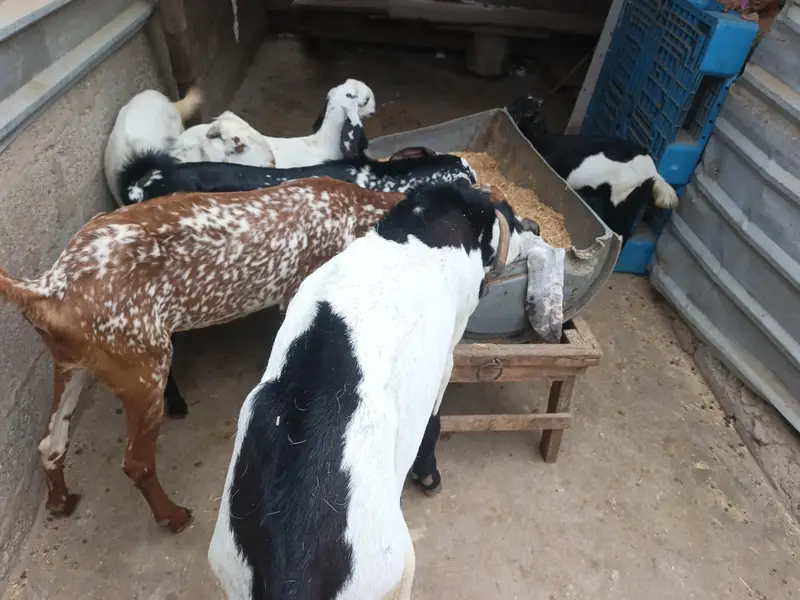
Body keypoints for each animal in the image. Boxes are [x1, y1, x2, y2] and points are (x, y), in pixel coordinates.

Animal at [0, 178, 421, 532]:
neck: (361, 211)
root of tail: (49, 286)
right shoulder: (299, 298)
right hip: (146, 374)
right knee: (137, 463)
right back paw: (172, 517)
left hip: (74, 368)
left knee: (51, 444)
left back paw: (61, 502)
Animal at [208, 183, 533, 600]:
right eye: (506, 210)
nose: (533, 226)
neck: (422, 228)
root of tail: (292, 566)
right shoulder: (448, 350)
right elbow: (434, 421)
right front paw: (428, 474)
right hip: (396, 571)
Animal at [506, 94, 679, 242]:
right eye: (517, 101)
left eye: (529, 112)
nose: (508, 110)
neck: (540, 139)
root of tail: (652, 172)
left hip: (620, 200)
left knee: (623, 229)